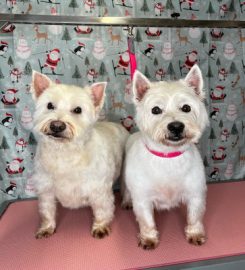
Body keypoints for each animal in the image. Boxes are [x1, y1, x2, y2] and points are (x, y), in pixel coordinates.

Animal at [31, 71, 128, 238]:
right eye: (50, 105)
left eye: (77, 110)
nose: (57, 126)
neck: (65, 152)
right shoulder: (46, 189)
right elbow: (47, 210)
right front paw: (47, 228)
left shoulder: (99, 189)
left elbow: (102, 210)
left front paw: (100, 227)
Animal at [122, 65, 209, 249]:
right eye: (156, 110)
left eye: (186, 108)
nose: (176, 126)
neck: (168, 156)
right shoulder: (142, 198)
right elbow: (147, 221)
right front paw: (148, 238)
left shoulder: (195, 193)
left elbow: (194, 216)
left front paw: (195, 234)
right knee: (125, 189)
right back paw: (126, 201)